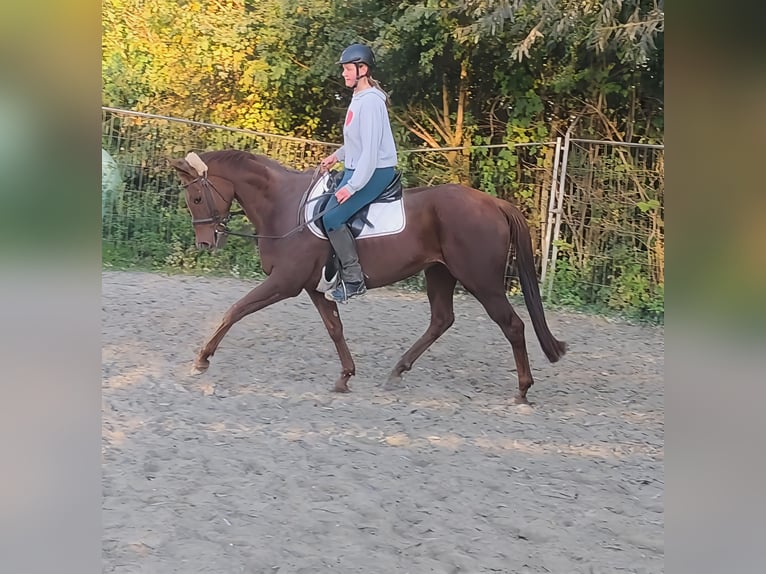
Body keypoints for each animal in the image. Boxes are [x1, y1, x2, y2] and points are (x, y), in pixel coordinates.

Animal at [171, 150, 568, 404]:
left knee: (512, 325)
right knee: (441, 320)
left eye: (196, 197)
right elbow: (335, 329)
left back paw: (522, 389)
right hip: (440, 273)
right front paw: (345, 377)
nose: (205, 242)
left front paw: (202, 359)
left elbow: (235, 310)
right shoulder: (314, 288)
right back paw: (397, 371)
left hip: (481, 281)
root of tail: (494, 203)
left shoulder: (284, 283)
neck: (284, 205)